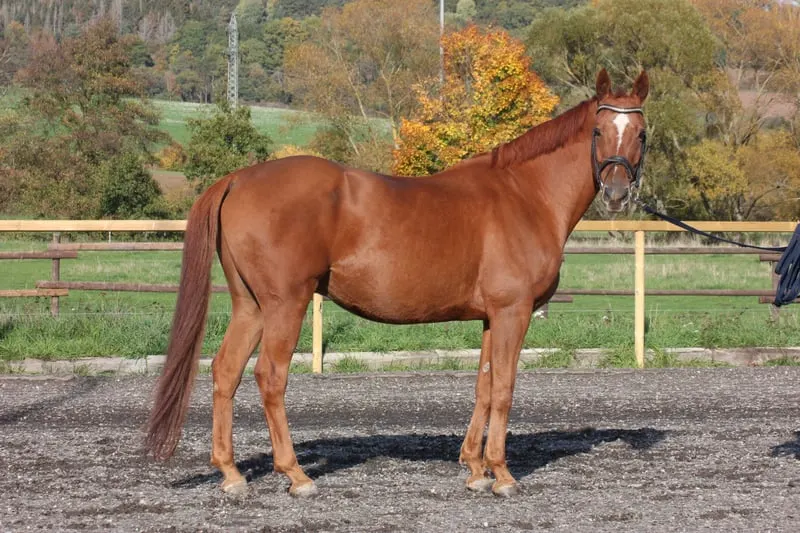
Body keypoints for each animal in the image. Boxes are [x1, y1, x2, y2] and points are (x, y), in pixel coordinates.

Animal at [145, 68, 649, 498]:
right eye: (599, 131)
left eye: (640, 133)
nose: (616, 192)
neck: (524, 194)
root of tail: (237, 179)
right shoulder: (513, 311)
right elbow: (504, 388)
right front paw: (502, 474)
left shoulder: (492, 317)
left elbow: (484, 386)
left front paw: (475, 468)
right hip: (284, 304)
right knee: (270, 376)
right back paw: (297, 476)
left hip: (250, 305)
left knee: (225, 371)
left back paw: (231, 474)